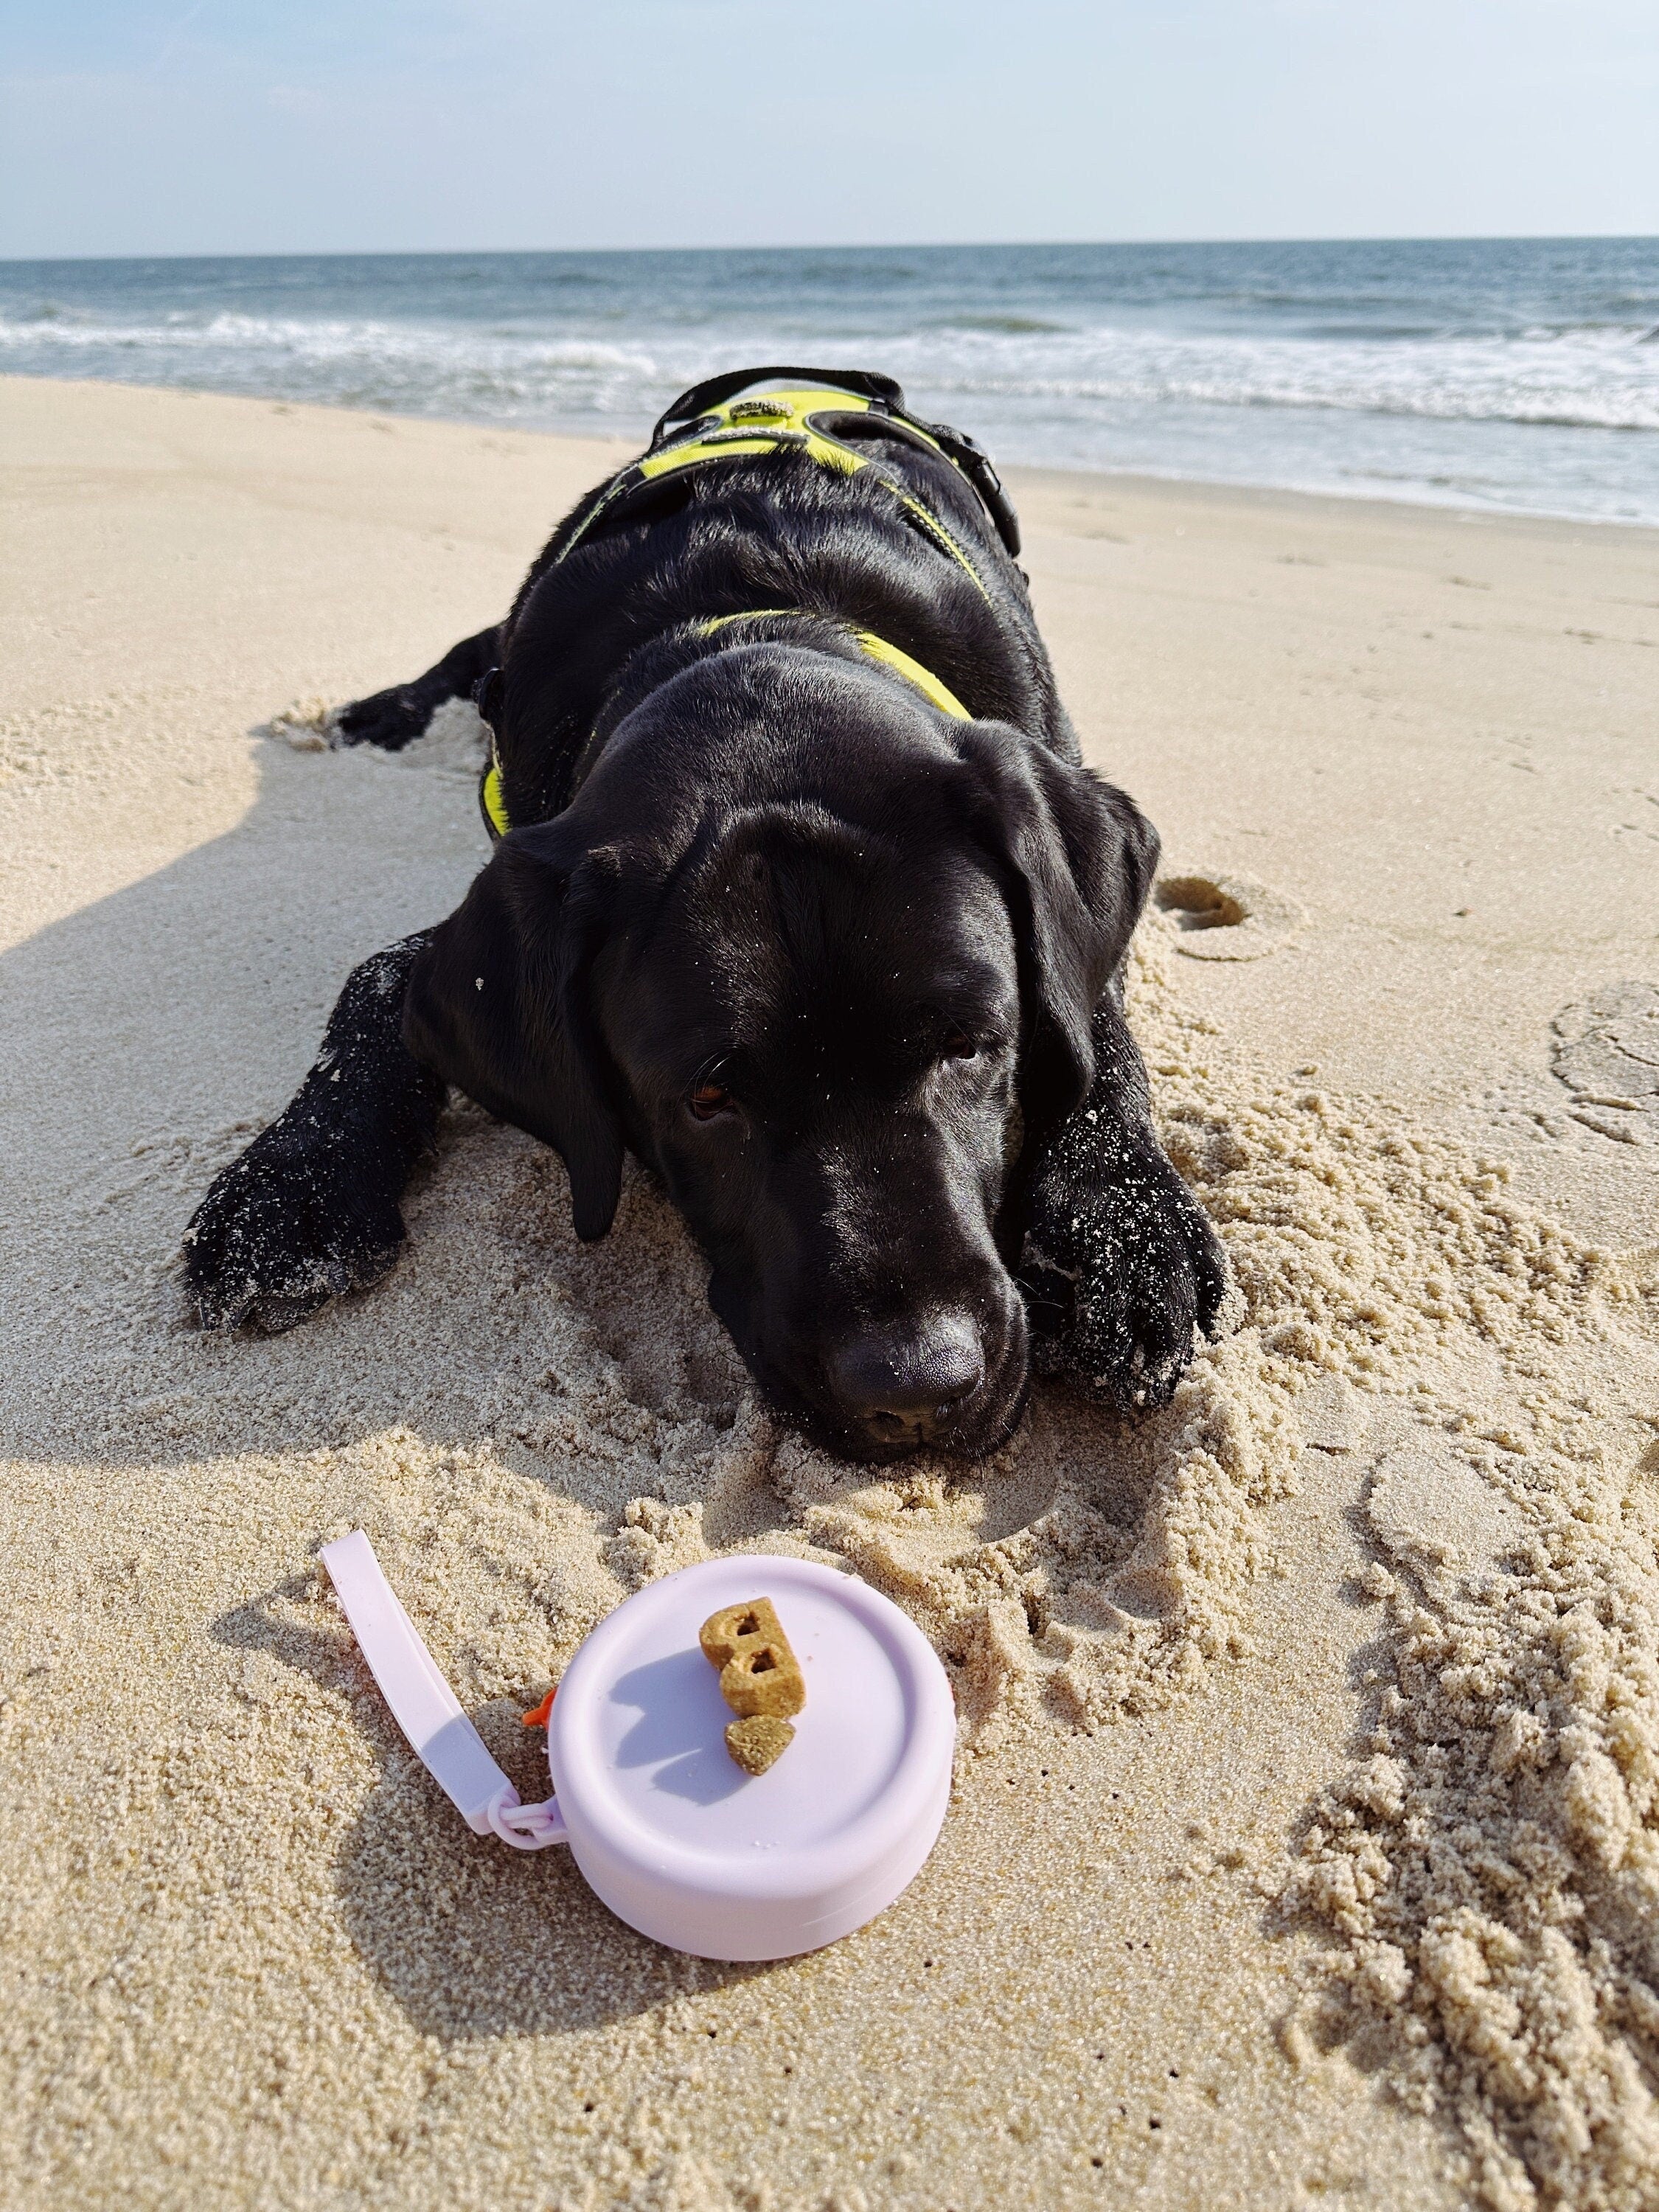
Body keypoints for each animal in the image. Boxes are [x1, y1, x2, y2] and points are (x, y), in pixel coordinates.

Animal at [188, 372, 1230, 1460]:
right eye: (706, 1098)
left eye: (971, 1045)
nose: (916, 1388)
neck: (760, 613)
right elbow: (377, 978)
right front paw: (293, 1189)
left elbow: (1092, 1029)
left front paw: (1123, 1233)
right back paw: (385, 711)